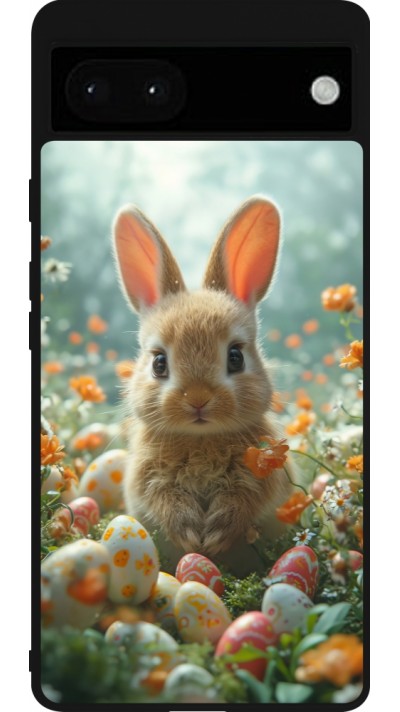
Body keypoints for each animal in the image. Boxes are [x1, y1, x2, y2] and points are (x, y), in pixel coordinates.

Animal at [112, 196, 293, 575]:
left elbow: (244, 499)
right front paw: (191, 534)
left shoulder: (263, 474)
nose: (197, 399)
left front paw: (215, 535)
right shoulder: (147, 478)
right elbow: (164, 500)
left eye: (235, 357)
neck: (200, 439)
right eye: (159, 363)